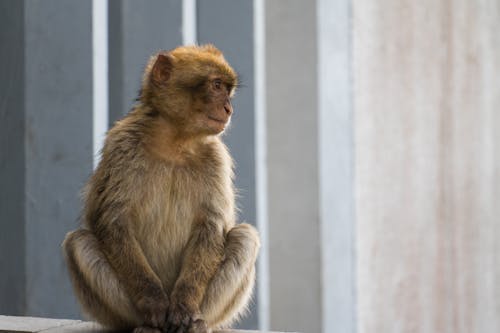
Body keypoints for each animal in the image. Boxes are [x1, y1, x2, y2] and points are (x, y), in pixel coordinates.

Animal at [61, 44, 262, 332]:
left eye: (227, 89)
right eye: (216, 86)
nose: (228, 108)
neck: (176, 141)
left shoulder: (217, 158)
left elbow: (210, 227)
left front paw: (184, 306)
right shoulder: (122, 144)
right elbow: (113, 222)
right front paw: (154, 303)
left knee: (245, 237)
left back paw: (197, 321)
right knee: (79, 241)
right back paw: (146, 324)